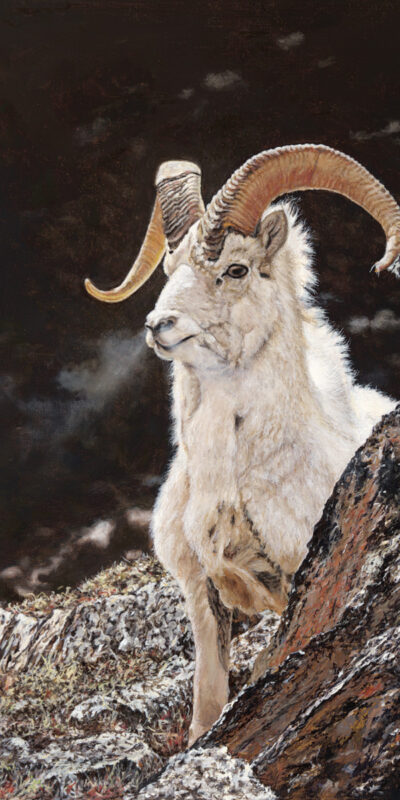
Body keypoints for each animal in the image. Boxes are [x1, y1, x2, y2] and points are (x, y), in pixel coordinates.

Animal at [85, 144, 400, 744]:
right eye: (169, 271)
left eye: (236, 269)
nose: (158, 324)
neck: (229, 479)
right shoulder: (204, 595)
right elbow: (208, 702)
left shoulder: (293, 580)